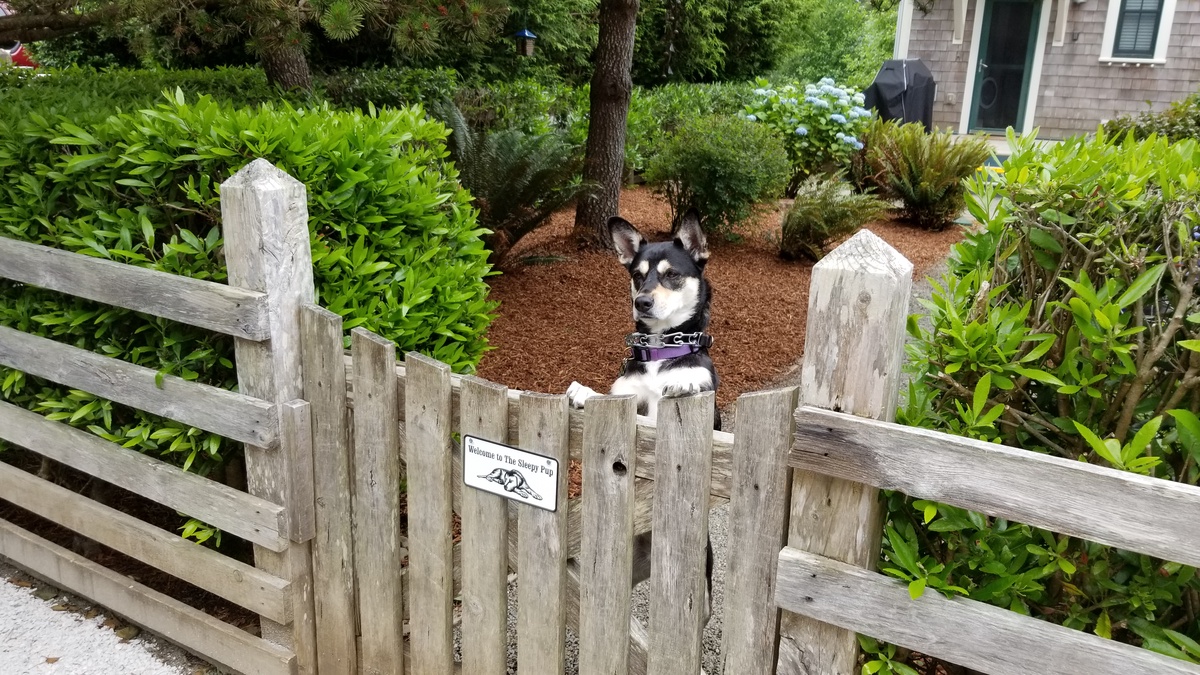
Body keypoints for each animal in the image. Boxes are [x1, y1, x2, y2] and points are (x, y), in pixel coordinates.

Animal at [566, 206, 715, 619]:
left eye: (672, 275)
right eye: (637, 276)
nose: (642, 302)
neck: (660, 352)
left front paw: (684, 384)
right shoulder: (625, 398)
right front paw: (584, 392)